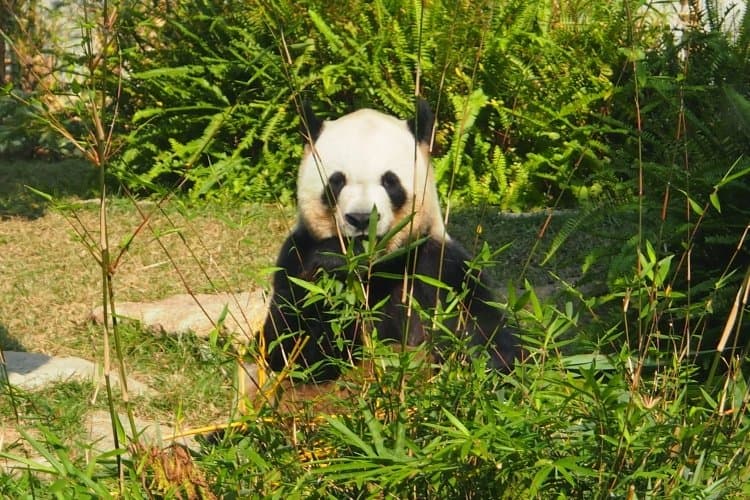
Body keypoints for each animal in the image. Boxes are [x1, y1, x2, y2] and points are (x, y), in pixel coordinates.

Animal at [262, 99, 521, 381]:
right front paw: (333, 264)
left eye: (390, 181)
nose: (361, 218)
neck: (377, 265)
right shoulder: (296, 255)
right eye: (336, 181)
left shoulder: (436, 265)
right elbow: (291, 349)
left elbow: (487, 337)